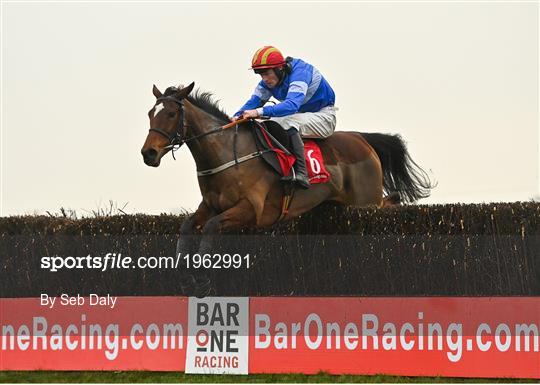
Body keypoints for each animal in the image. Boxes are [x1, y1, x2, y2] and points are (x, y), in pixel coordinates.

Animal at [141, 82, 432, 296]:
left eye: (171, 114)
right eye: (150, 114)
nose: (148, 153)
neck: (225, 154)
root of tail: (363, 139)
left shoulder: (251, 210)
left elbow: (211, 227)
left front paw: (201, 279)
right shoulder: (210, 205)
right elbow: (186, 227)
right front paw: (186, 278)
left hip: (365, 202)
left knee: (388, 204)